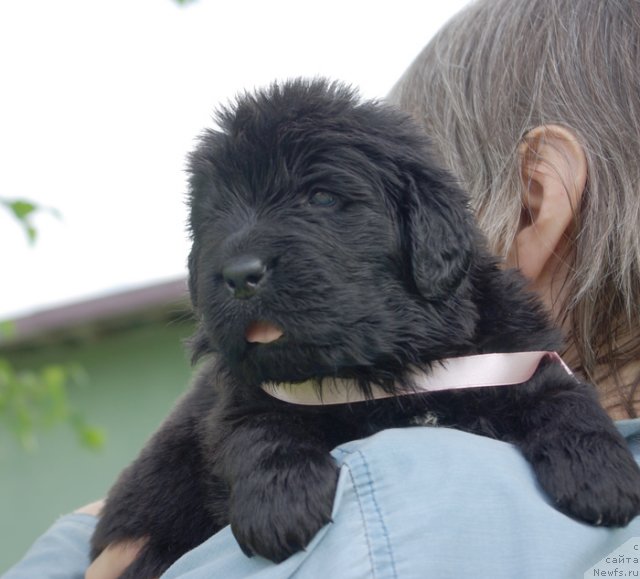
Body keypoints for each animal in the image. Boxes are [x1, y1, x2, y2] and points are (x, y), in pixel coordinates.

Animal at [89, 79, 640, 576]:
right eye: (212, 216)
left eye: (321, 198)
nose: (239, 275)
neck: (390, 368)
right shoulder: (235, 395)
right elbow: (253, 425)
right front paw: (281, 502)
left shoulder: (511, 348)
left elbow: (559, 390)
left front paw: (600, 471)